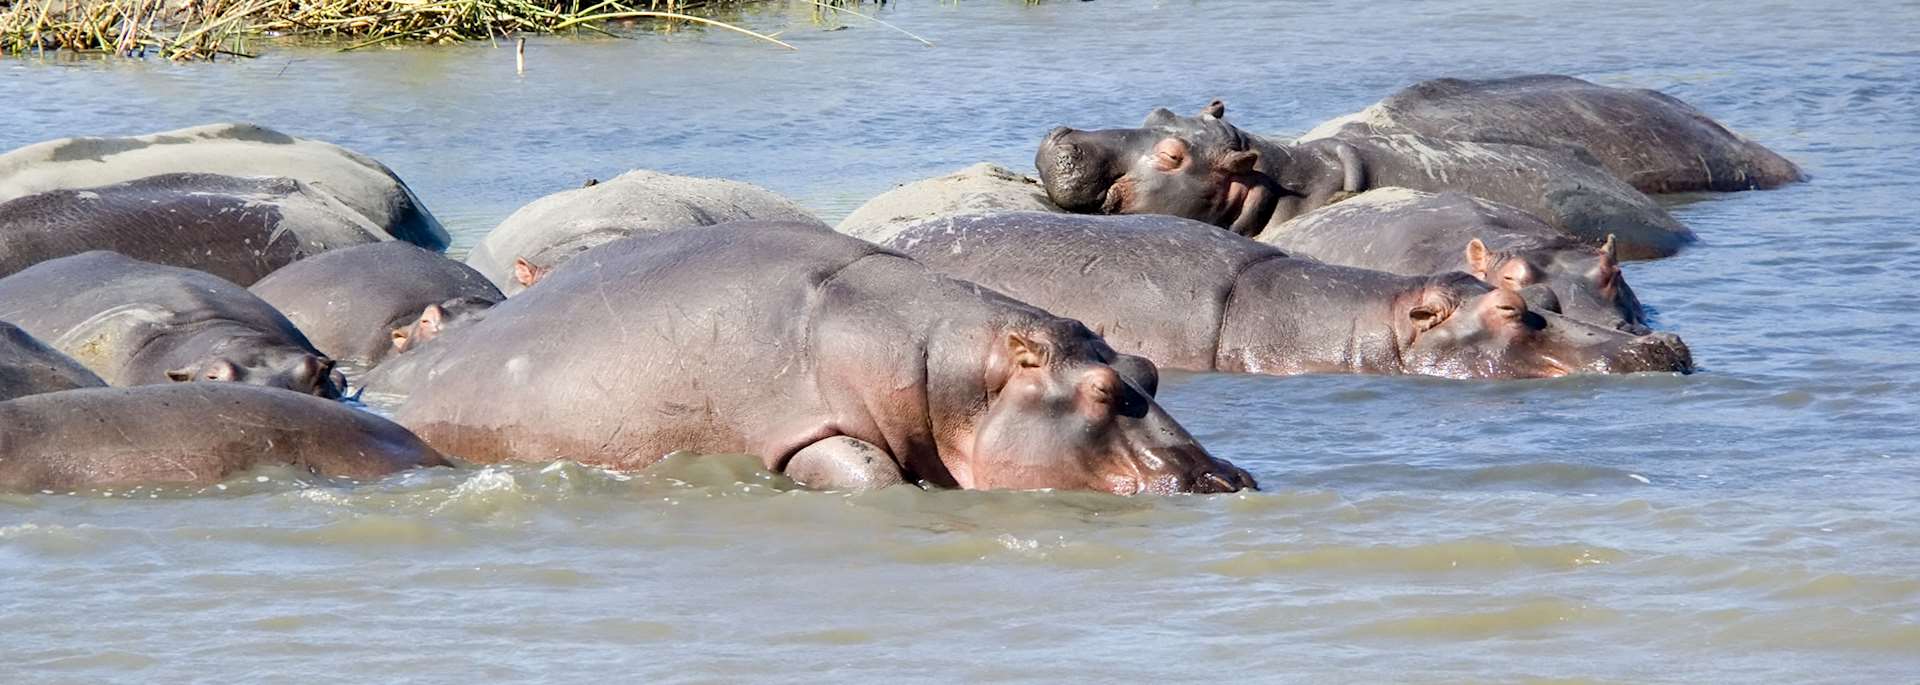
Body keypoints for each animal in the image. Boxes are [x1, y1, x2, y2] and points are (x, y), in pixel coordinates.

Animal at [366, 221, 1252, 495]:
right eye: (1101, 390)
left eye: (1147, 370)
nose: (1227, 479)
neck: (949, 372)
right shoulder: (812, 433)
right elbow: (869, 475)